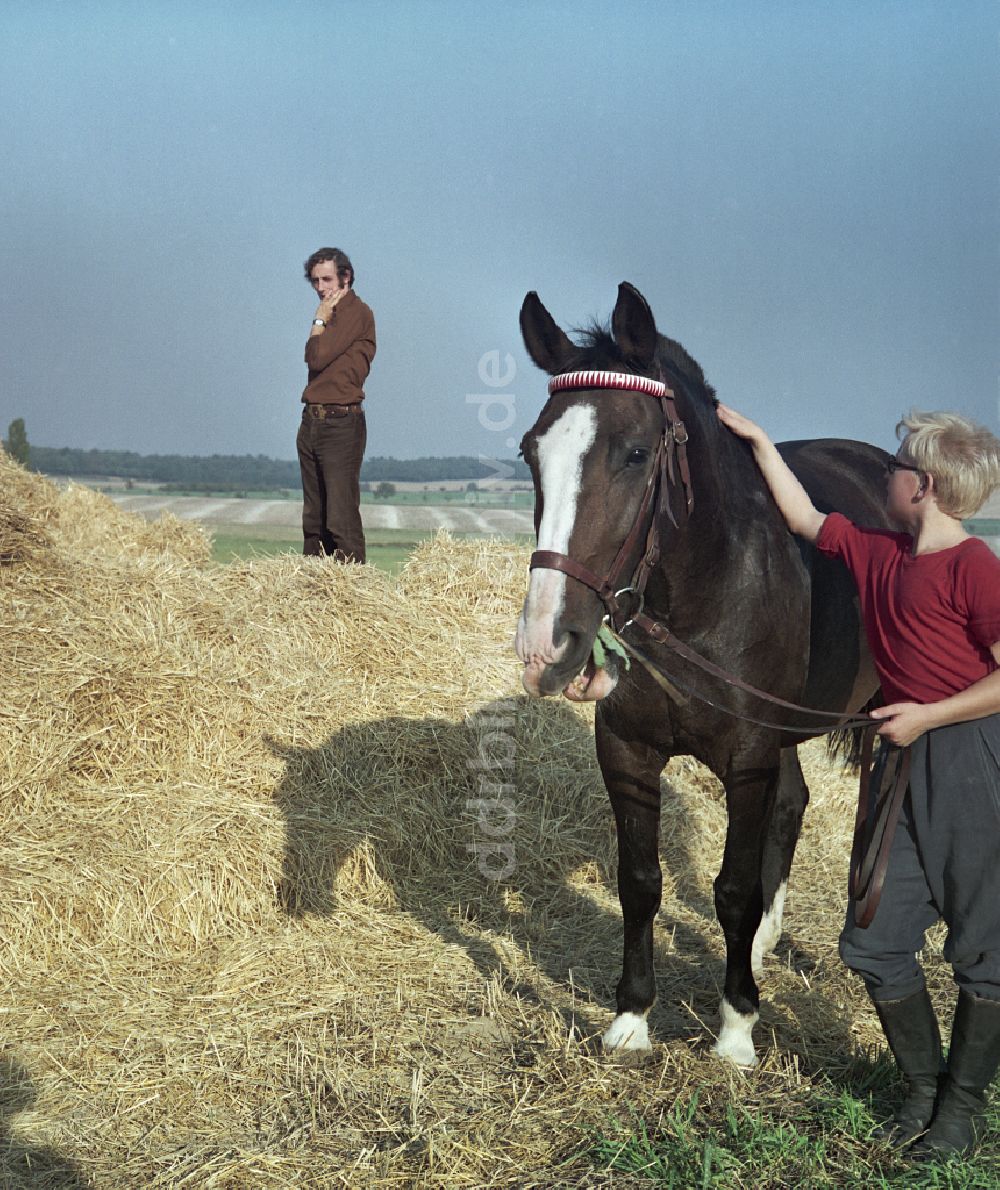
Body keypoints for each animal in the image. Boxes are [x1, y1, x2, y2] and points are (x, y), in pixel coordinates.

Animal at [516, 283, 890, 1066]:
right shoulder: (627, 752)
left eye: (635, 454)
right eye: (531, 453)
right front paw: (631, 1018)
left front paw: (737, 1027)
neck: (702, 594)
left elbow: (734, 889)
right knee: (793, 802)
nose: (546, 643)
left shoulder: (747, 758)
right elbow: (639, 880)